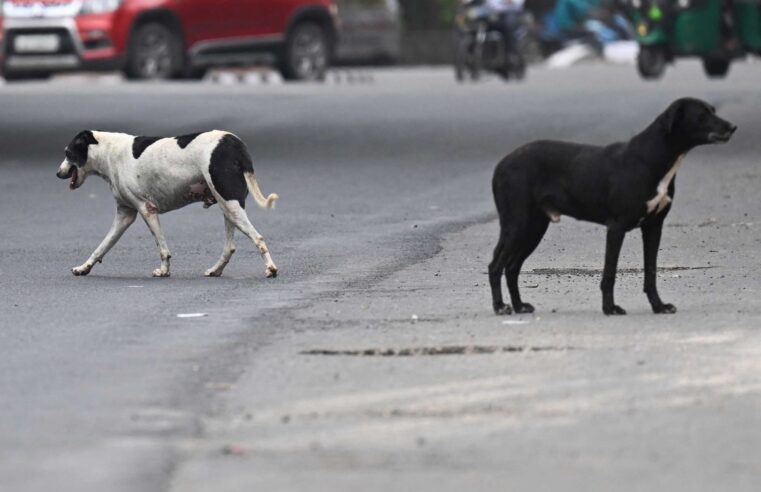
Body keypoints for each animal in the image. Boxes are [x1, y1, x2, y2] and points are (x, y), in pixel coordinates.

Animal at [57, 129, 280, 278]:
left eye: (68, 152)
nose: (58, 173)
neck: (108, 152)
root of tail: (234, 142)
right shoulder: (124, 215)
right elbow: (102, 246)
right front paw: (84, 267)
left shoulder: (147, 210)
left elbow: (162, 247)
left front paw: (164, 270)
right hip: (228, 207)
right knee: (230, 246)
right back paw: (216, 270)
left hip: (231, 205)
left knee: (258, 238)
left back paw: (270, 269)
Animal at [490, 98, 732, 318]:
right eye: (702, 115)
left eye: (713, 110)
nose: (732, 127)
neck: (652, 158)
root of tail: (501, 165)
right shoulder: (616, 227)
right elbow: (610, 273)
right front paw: (610, 308)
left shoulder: (654, 227)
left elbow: (651, 271)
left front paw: (659, 306)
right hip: (517, 224)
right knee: (496, 265)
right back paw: (500, 307)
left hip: (534, 228)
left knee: (512, 267)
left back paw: (519, 306)